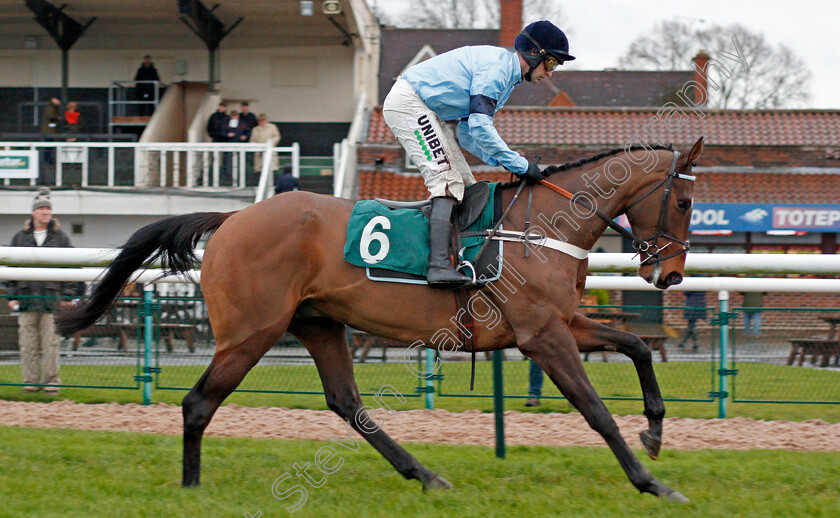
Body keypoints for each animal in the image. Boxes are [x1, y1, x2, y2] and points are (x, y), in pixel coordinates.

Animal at [57, 138, 704, 504]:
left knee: (347, 403)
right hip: (250, 332)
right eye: (683, 201)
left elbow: (635, 346)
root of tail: (233, 218)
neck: (542, 226)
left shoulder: (560, 324)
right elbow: (596, 411)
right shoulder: (541, 337)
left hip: (318, 324)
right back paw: (191, 488)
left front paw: (654, 430)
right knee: (198, 403)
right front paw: (652, 483)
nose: (671, 274)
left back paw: (425, 475)